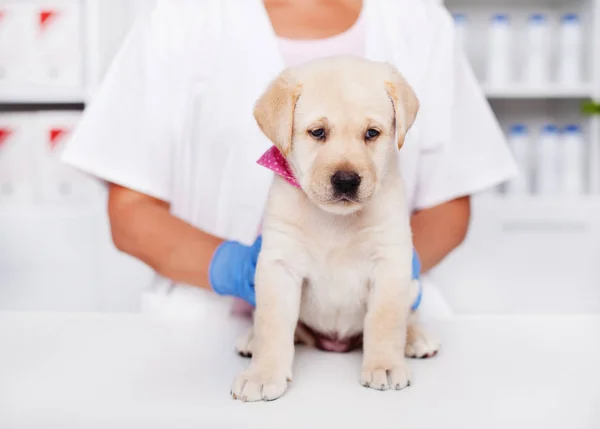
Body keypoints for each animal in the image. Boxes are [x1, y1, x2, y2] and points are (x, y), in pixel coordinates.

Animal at [234, 56, 440, 402]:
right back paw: (250, 340)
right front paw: (262, 374)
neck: (334, 220)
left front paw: (384, 365)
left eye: (372, 133)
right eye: (318, 132)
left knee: (408, 315)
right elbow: (272, 323)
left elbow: (385, 320)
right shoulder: (279, 265)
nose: (346, 180)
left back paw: (416, 338)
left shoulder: (391, 263)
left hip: (412, 285)